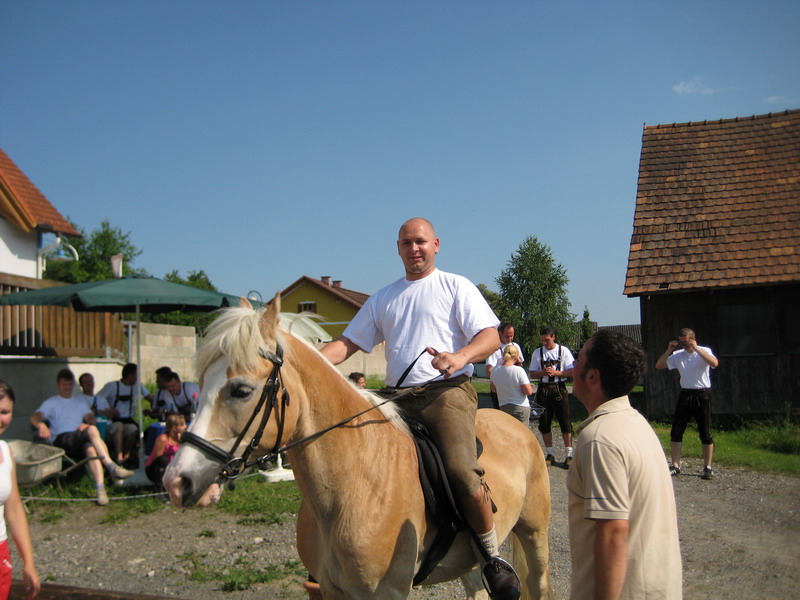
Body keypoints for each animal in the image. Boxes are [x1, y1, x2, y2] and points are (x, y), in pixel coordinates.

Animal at [164, 296, 551, 600]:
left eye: (241, 390)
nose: (176, 482)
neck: (356, 483)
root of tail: (518, 424)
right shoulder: (332, 590)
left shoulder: (387, 592)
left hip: (534, 536)